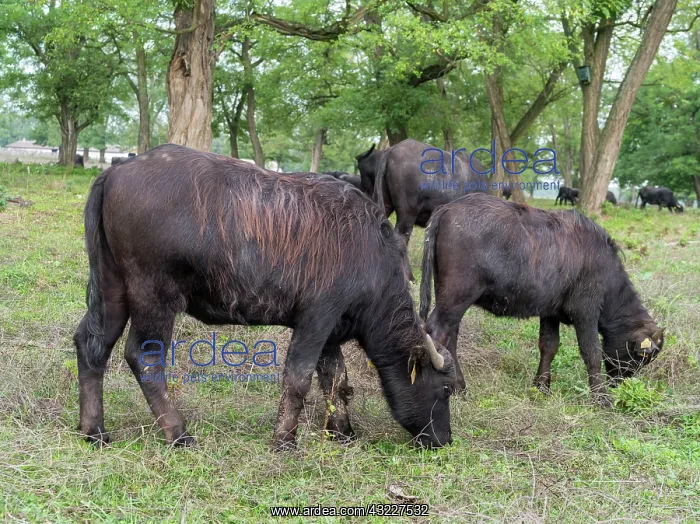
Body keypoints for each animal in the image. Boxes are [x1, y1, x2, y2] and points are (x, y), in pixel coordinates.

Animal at [74, 144, 456, 451]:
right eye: (446, 390)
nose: (443, 440)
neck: (370, 253)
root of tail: (116, 171)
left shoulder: (332, 333)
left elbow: (336, 381)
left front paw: (342, 431)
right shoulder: (316, 319)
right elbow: (298, 379)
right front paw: (284, 439)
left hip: (112, 289)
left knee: (91, 345)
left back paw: (94, 431)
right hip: (154, 296)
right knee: (144, 357)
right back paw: (178, 433)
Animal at [419, 193, 664, 402]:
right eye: (642, 357)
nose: (619, 383)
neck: (604, 269)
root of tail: (447, 208)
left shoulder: (550, 313)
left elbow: (549, 346)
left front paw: (542, 387)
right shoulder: (585, 313)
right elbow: (592, 352)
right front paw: (601, 398)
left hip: (449, 297)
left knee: (451, 336)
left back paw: (460, 387)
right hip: (457, 297)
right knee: (438, 332)